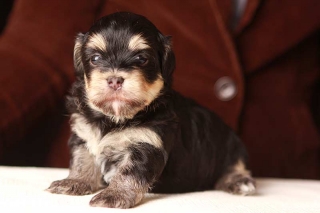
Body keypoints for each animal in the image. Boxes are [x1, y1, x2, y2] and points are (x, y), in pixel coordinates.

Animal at [47, 11, 256, 208]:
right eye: (95, 58)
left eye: (141, 59)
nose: (115, 80)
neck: (115, 117)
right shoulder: (83, 133)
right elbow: (82, 160)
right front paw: (74, 181)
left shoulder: (147, 142)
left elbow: (129, 172)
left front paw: (114, 194)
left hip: (230, 147)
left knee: (236, 166)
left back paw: (240, 182)